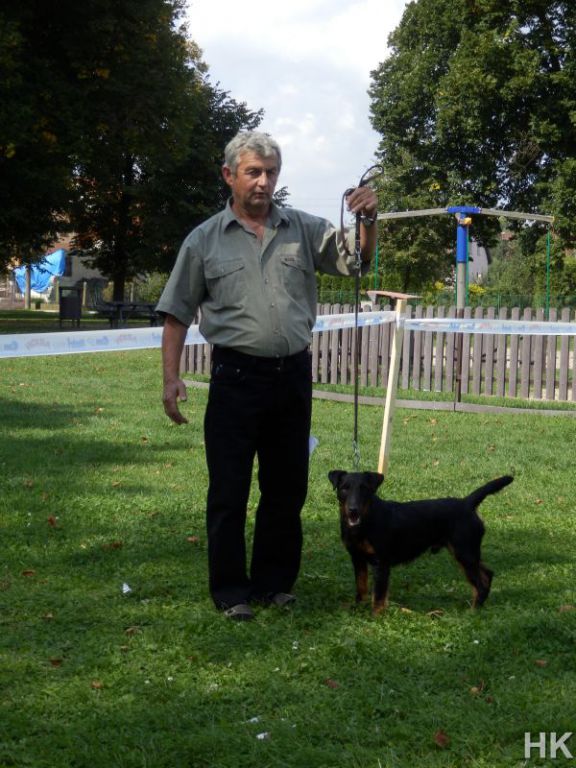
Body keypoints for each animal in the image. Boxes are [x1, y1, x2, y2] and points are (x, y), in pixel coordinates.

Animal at [328, 470, 513, 614]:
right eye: (344, 489)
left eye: (364, 489)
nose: (353, 510)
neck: (365, 522)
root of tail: (467, 503)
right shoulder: (357, 559)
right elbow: (361, 587)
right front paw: (358, 608)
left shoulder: (380, 563)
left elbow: (379, 595)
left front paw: (376, 617)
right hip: (468, 553)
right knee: (487, 575)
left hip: (464, 553)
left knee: (480, 583)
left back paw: (472, 611)